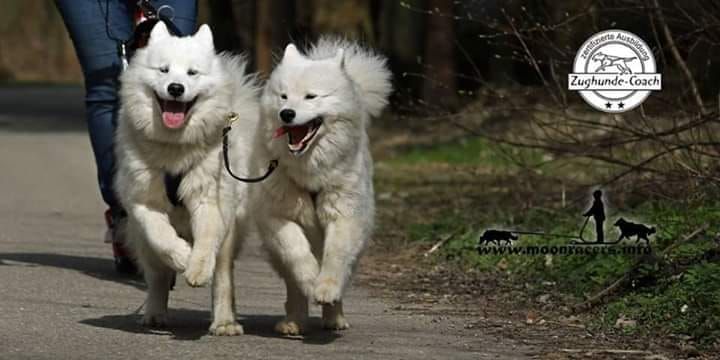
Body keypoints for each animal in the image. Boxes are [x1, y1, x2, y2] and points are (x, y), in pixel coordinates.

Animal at [114, 22, 258, 334]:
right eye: (164, 70)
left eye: (192, 73)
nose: (176, 88)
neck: (175, 148)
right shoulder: (143, 203)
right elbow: (162, 237)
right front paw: (182, 256)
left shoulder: (210, 200)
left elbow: (205, 243)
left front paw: (197, 269)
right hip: (143, 243)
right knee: (156, 275)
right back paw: (154, 314)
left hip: (230, 234)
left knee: (223, 278)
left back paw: (225, 322)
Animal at [222, 38, 390, 334]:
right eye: (283, 96)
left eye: (311, 97)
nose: (287, 114)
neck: (309, 172)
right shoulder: (277, 217)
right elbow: (297, 252)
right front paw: (312, 280)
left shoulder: (343, 217)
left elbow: (335, 257)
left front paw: (326, 289)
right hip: (277, 256)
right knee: (293, 283)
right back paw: (294, 320)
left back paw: (334, 317)